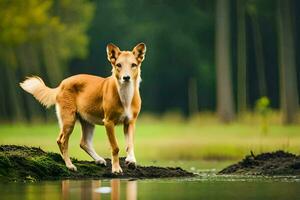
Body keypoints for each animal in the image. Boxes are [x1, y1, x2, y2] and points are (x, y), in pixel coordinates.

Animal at [19, 42, 146, 173]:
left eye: (133, 65)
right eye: (118, 65)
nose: (126, 77)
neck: (125, 94)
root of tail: (61, 84)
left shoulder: (130, 122)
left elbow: (130, 144)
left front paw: (131, 161)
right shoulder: (109, 122)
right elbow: (115, 147)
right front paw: (116, 168)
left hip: (88, 122)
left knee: (84, 143)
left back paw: (98, 160)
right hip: (69, 120)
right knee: (62, 141)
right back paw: (69, 165)